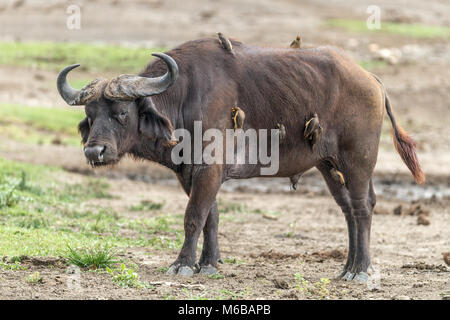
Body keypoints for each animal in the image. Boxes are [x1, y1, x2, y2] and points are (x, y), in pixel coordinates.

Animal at [57, 38, 426, 282]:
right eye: (90, 115)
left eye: (121, 113)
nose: (94, 152)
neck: (186, 96)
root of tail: (372, 80)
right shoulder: (191, 173)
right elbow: (211, 216)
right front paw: (208, 263)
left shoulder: (208, 169)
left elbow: (193, 216)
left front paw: (183, 264)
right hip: (327, 165)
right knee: (348, 208)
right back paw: (347, 268)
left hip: (358, 160)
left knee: (363, 207)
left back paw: (362, 271)